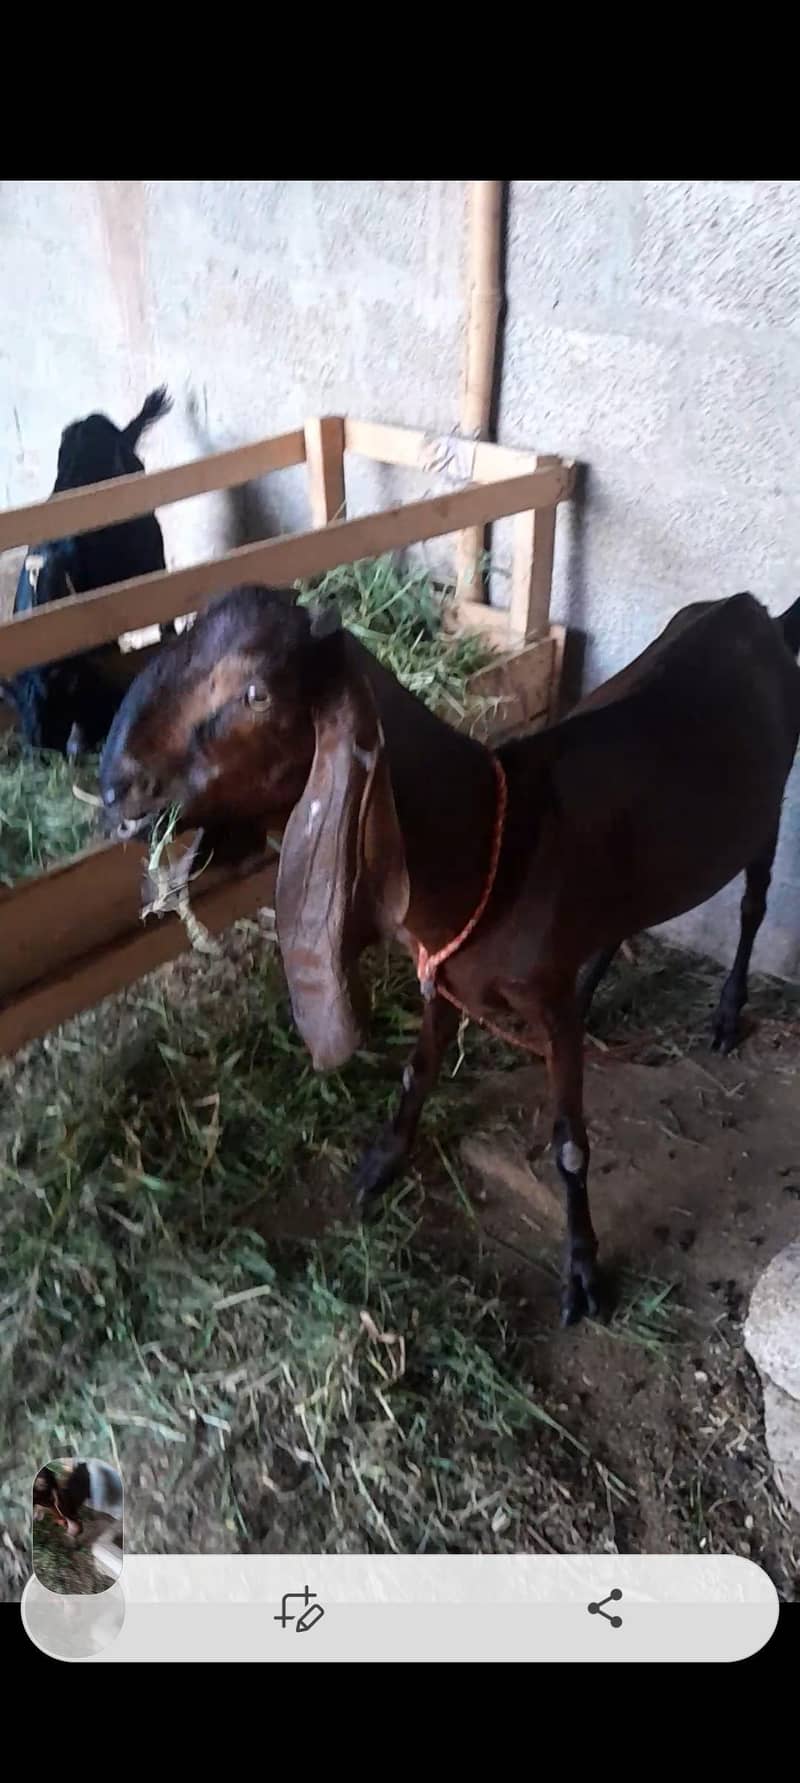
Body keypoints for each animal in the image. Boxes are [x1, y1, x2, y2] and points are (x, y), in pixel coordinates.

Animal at [99, 583, 800, 1325]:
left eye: (256, 692)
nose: (115, 789)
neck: (496, 837)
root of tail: (752, 608)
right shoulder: (443, 975)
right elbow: (419, 1070)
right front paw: (382, 1161)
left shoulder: (545, 1004)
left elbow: (571, 1146)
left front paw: (583, 1269)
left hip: (770, 805)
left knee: (753, 906)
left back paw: (727, 1014)